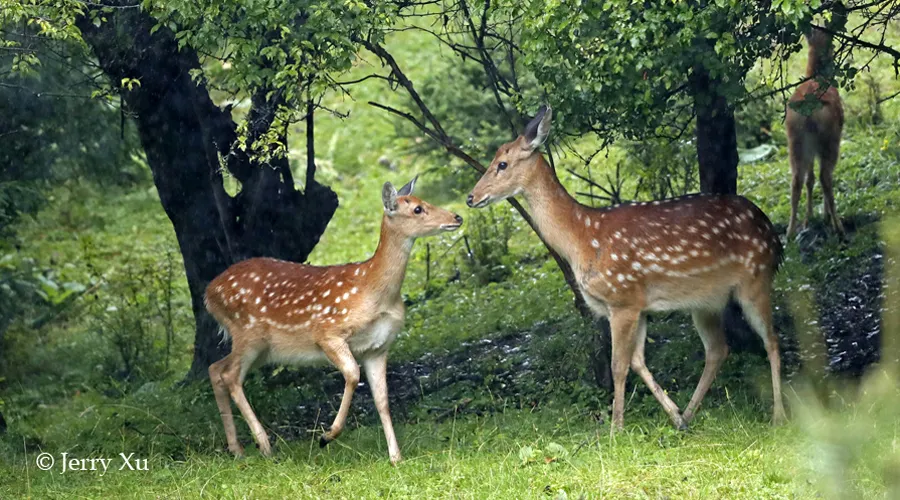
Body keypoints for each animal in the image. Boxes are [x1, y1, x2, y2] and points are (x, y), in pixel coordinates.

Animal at [205, 178, 464, 462]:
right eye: (417, 209)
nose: (457, 216)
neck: (375, 292)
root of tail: (208, 292)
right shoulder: (327, 332)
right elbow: (352, 374)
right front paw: (327, 435)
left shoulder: (378, 347)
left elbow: (382, 400)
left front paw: (396, 457)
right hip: (247, 331)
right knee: (230, 375)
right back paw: (264, 445)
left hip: (265, 348)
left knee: (216, 369)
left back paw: (237, 448)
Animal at [468, 105, 784, 430]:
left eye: (502, 164)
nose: (471, 197)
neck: (582, 239)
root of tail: (772, 233)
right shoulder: (637, 304)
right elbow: (637, 361)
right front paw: (672, 414)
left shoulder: (622, 299)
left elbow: (618, 365)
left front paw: (615, 428)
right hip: (704, 300)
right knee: (718, 349)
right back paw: (687, 416)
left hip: (755, 278)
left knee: (772, 340)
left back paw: (779, 415)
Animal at [788, 25, 844, 238]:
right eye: (833, 43)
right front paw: (823, 217)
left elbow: (809, 180)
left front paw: (808, 219)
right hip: (830, 138)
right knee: (825, 177)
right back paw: (838, 226)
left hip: (796, 140)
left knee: (797, 180)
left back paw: (790, 232)